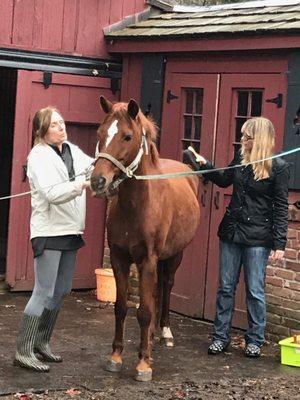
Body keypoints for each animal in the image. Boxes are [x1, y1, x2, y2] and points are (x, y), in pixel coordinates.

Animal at [91, 97, 199, 382]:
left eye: (127, 136)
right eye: (100, 133)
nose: (98, 181)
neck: (136, 205)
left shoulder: (148, 260)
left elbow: (145, 311)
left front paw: (143, 364)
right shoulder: (119, 259)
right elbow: (121, 307)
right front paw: (116, 357)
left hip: (174, 256)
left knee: (166, 287)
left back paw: (164, 333)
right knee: (156, 292)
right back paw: (149, 338)